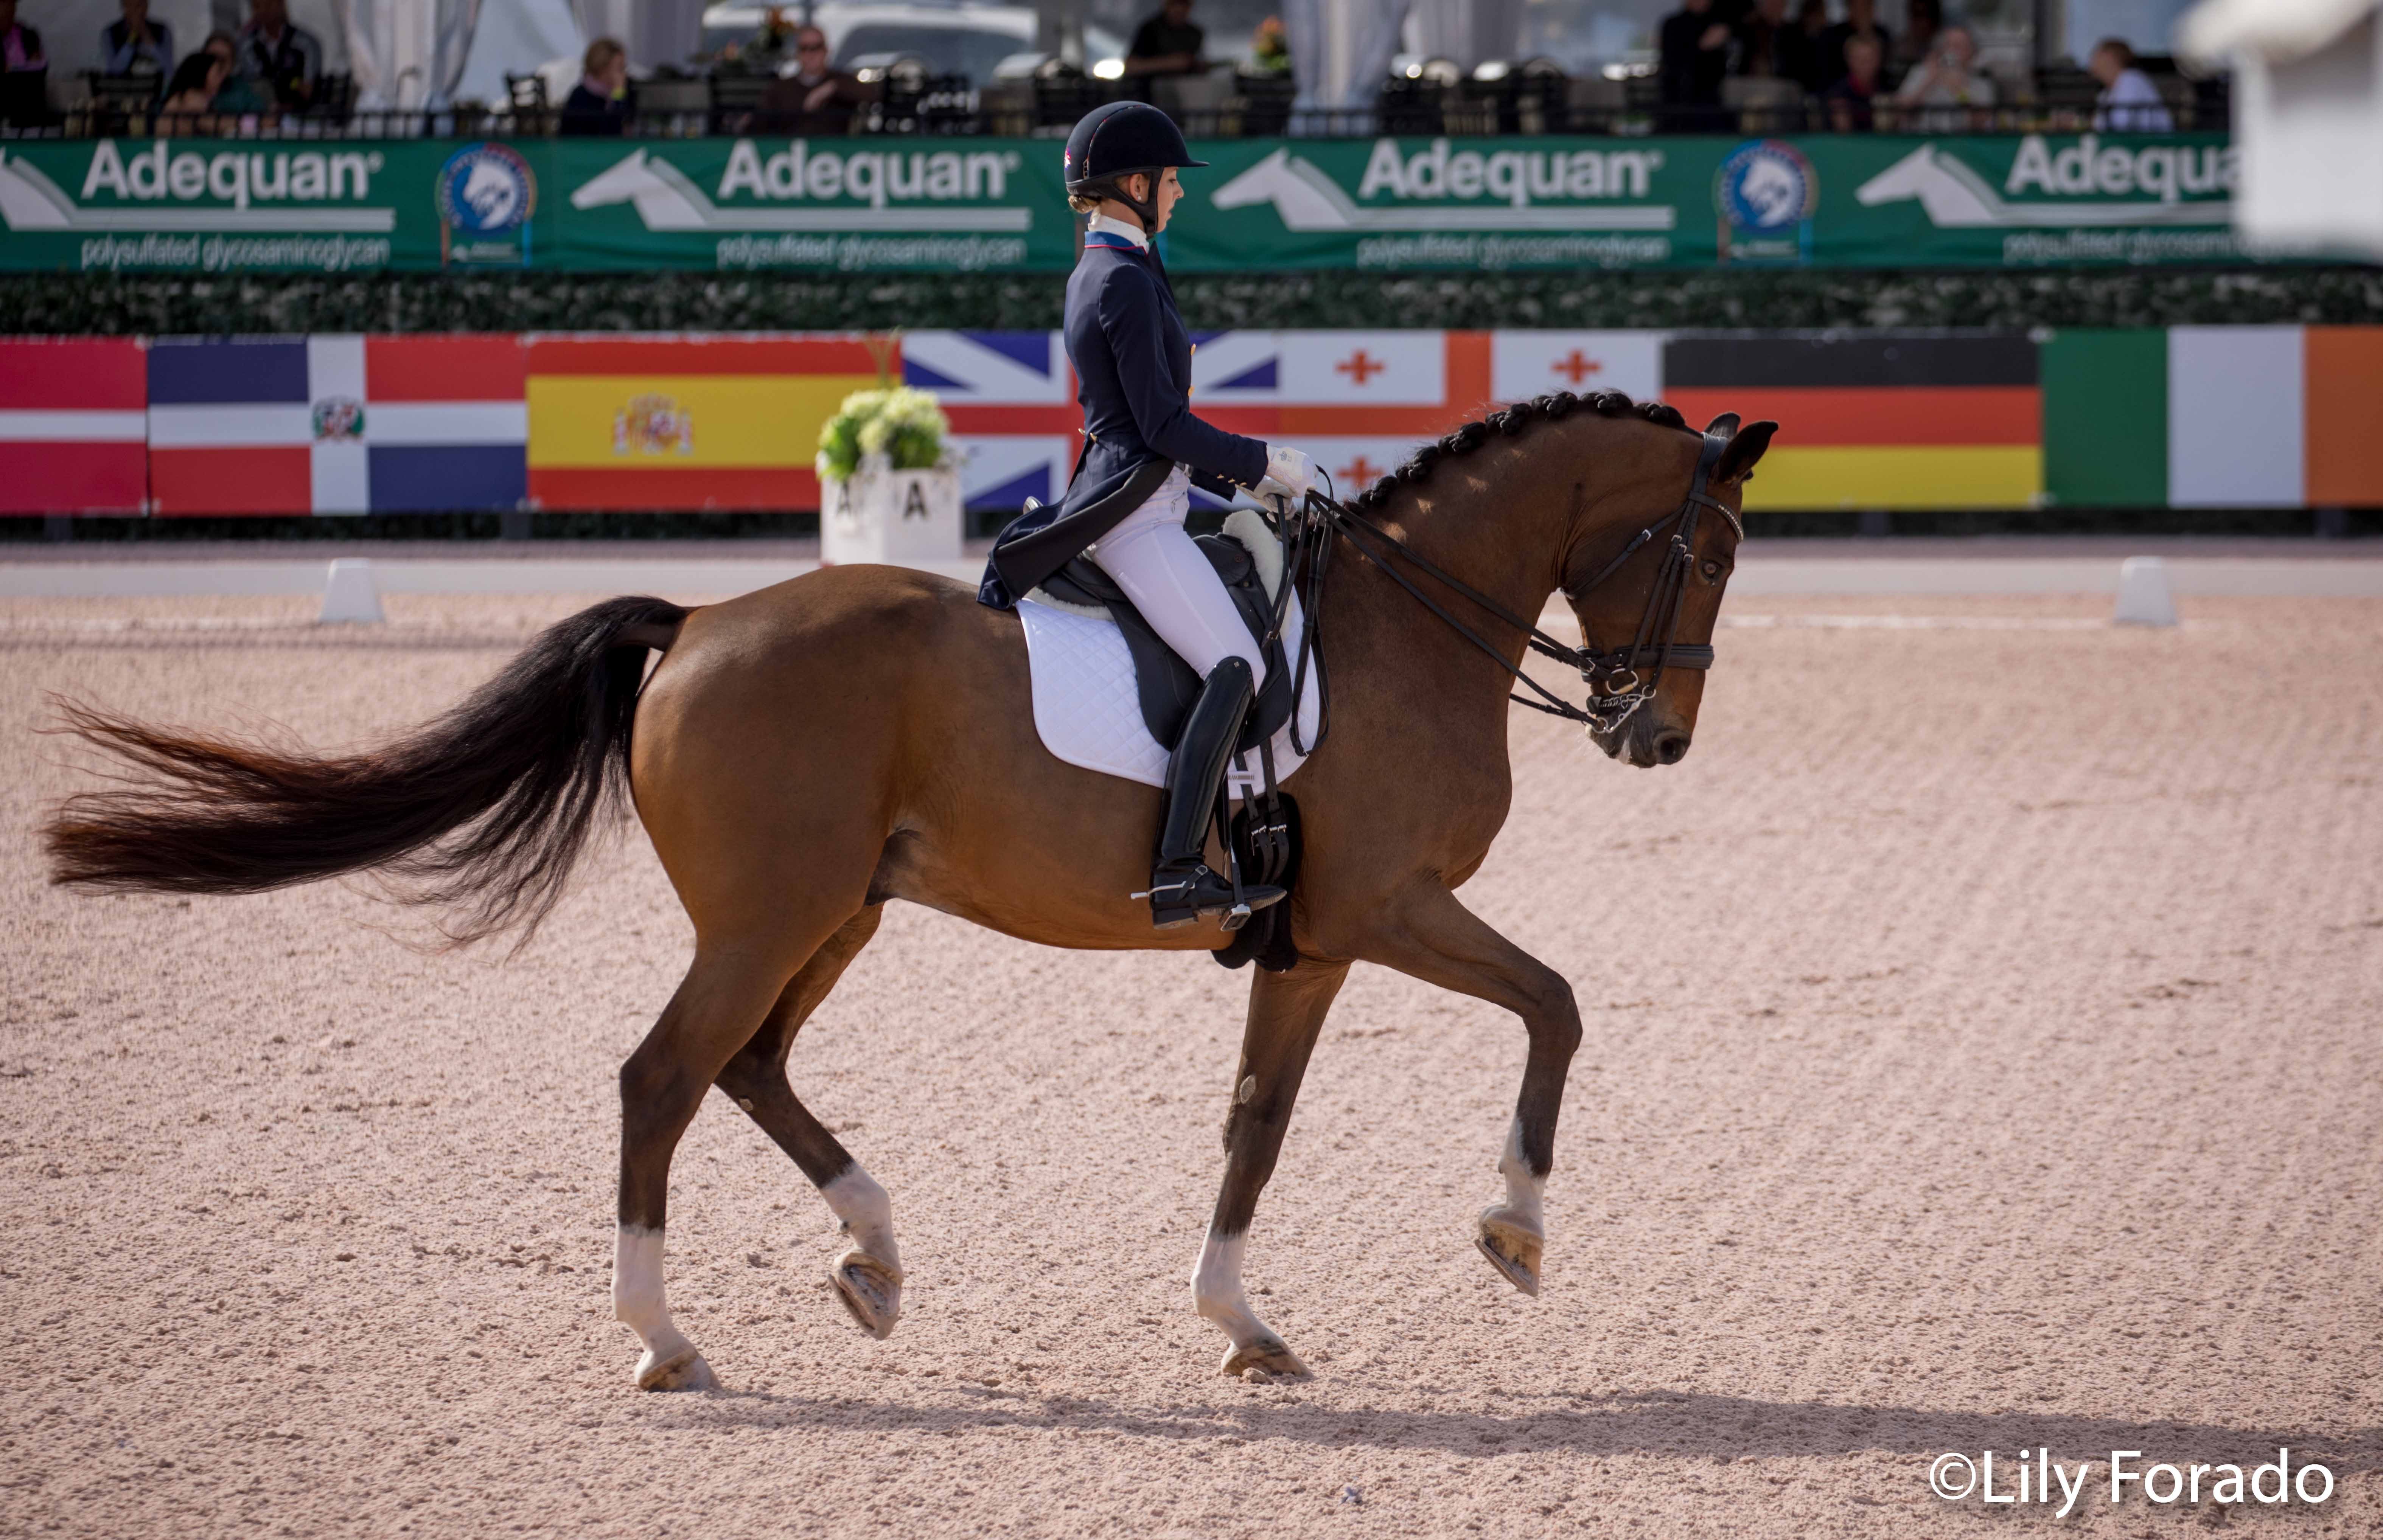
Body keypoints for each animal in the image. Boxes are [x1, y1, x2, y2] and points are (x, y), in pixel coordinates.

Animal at [46, 386, 1782, 1392]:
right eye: (1706, 553)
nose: (1657, 735)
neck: (1405, 631)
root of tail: (692, 624)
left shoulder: (1308, 943)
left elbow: (1256, 1122)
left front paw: (1241, 1325)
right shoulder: (1381, 910)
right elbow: (1555, 1007)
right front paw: (1511, 1230)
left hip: (839, 912)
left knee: (748, 1067)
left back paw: (871, 1258)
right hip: (768, 917)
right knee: (664, 1076)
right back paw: (664, 1339)